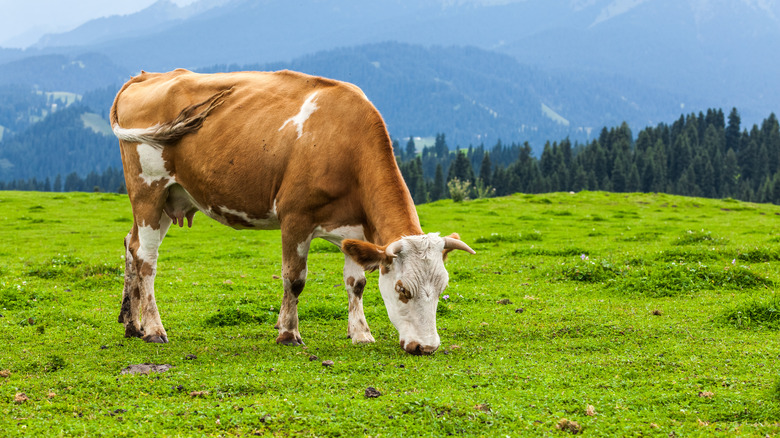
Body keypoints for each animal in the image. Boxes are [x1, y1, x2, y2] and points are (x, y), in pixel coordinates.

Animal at [109, 69, 476, 356]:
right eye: (402, 289)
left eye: (442, 289)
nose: (426, 347)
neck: (346, 144)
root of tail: (144, 76)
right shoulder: (295, 217)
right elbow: (294, 278)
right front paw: (288, 333)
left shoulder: (355, 230)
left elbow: (356, 283)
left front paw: (360, 333)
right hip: (148, 190)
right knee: (146, 260)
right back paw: (153, 329)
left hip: (170, 199)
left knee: (130, 244)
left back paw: (132, 324)